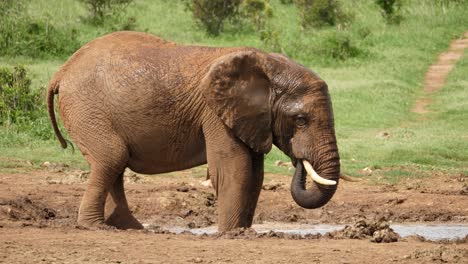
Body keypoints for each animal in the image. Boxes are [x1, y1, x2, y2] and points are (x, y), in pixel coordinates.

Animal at [47, 32, 340, 232]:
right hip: (86, 108)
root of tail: (62, 70)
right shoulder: (215, 114)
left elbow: (255, 175)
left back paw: (129, 228)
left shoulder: (251, 120)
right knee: (111, 157)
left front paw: (243, 232)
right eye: (300, 120)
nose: (299, 162)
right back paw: (95, 227)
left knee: (113, 164)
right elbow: (235, 170)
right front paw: (231, 234)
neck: (269, 65)